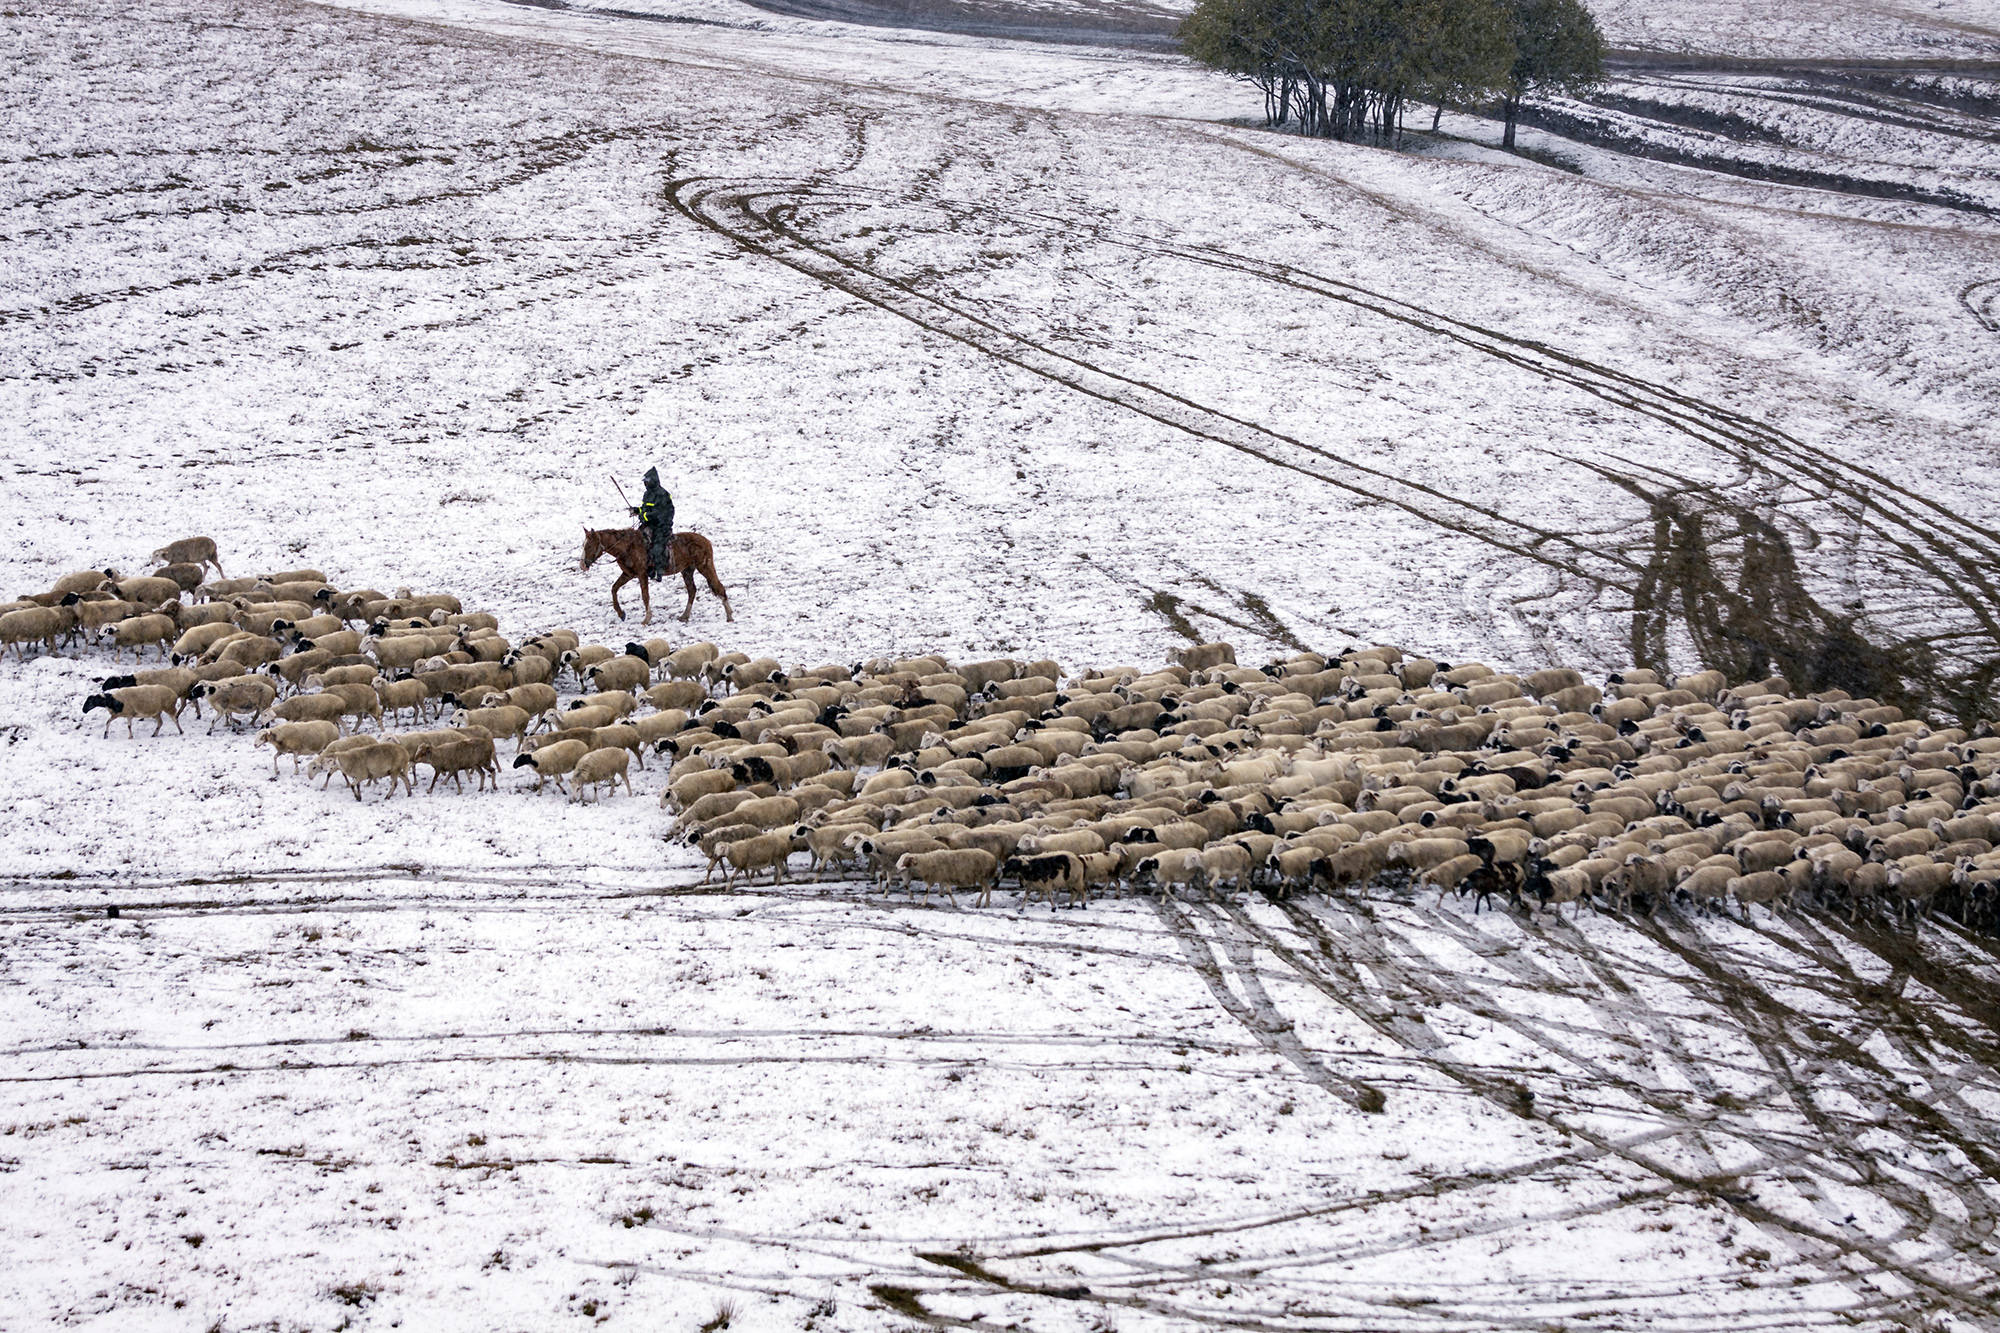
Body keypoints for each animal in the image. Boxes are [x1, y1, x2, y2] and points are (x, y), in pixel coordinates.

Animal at [580, 524, 736, 624]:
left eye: (589, 546)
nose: (582, 565)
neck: (628, 547)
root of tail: (706, 541)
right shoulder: (628, 574)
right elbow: (614, 589)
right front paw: (621, 613)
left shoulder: (642, 574)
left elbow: (645, 596)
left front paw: (646, 619)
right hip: (687, 571)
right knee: (692, 590)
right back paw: (684, 616)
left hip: (705, 566)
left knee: (718, 586)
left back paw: (729, 616)